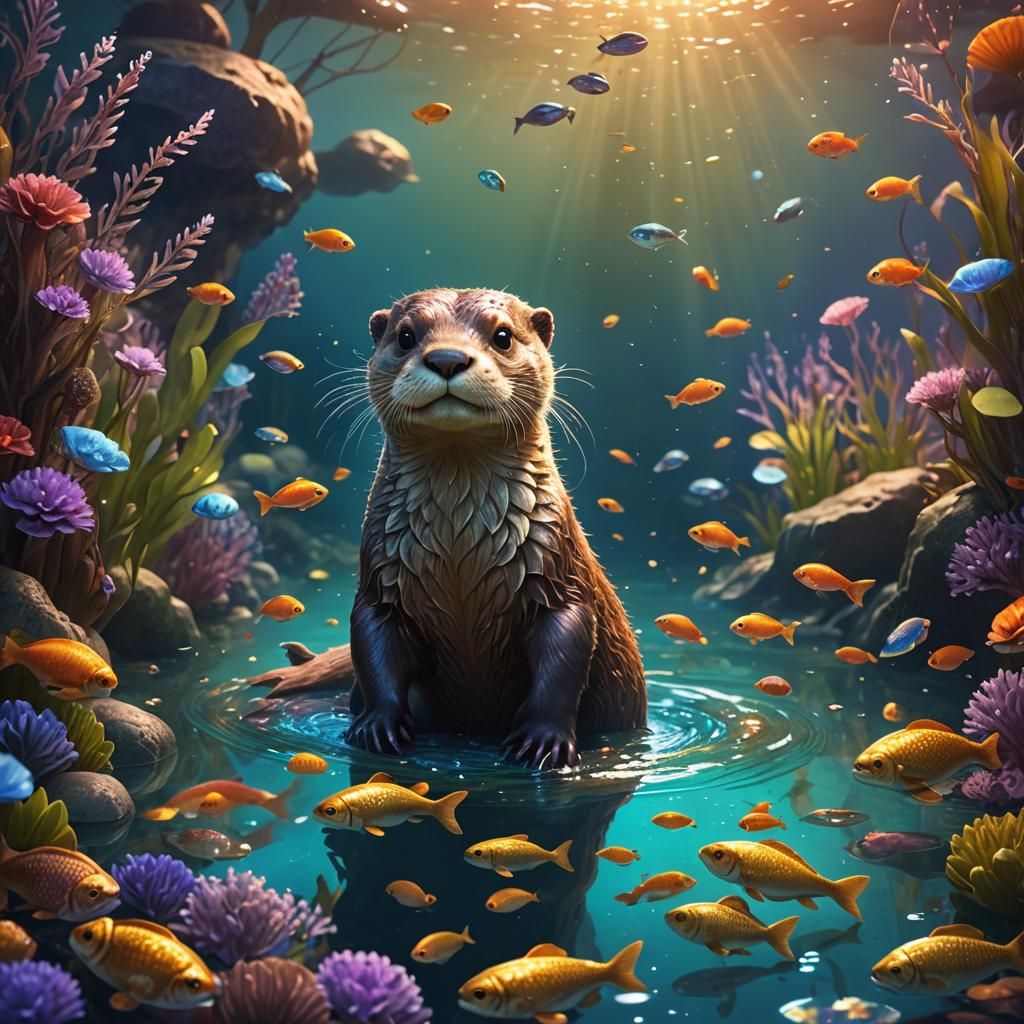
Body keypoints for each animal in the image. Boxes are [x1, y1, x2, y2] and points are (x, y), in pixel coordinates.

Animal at [343, 288, 646, 769]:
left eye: (502, 336)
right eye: (406, 336)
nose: (447, 358)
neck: (458, 551)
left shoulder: (559, 575)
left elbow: (565, 656)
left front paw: (544, 741)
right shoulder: (380, 579)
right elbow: (372, 644)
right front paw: (376, 726)